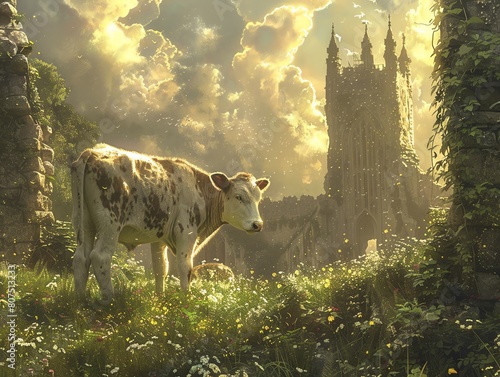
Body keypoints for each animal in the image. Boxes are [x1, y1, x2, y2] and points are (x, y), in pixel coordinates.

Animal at [70, 142, 270, 304]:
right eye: (238, 197)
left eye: (258, 198)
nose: (258, 224)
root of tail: (92, 152)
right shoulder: (186, 232)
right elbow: (185, 267)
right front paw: (186, 299)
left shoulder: (159, 238)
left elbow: (161, 268)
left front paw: (160, 298)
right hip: (110, 223)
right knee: (100, 256)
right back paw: (109, 300)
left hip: (84, 223)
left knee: (81, 257)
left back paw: (80, 300)